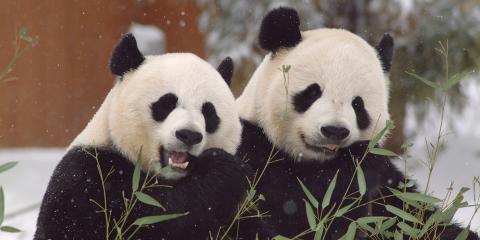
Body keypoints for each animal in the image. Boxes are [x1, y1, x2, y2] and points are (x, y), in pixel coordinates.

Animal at [35, 33, 249, 240]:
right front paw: (222, 169)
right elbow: (157, 218)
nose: (188, 135)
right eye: (167, 103)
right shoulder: (88, 176)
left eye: (209, 112)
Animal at [236, 6, 480, 239]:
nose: (334, 131)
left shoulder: (389, 190)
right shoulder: (254, 153)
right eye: (313, 92)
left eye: (358, 105)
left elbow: (416, 218)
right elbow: (294, 212)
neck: (313, 162)